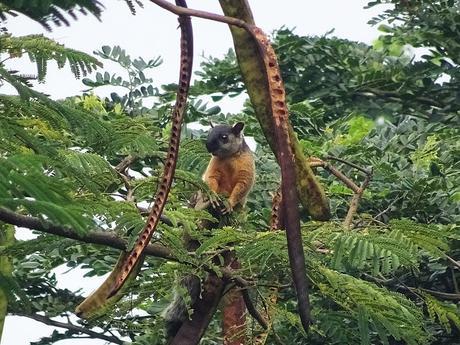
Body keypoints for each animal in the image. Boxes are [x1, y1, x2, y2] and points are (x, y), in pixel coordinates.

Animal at [162, 122, 255, 338]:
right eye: (209, 133)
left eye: (224, 136)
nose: (208, 146)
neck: (228, 158)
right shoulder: (213, 167)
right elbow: (211, 180)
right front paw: (213, 196)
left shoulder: (246, 168)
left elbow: (241, 187)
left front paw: (229, 202)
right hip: (198, 215)